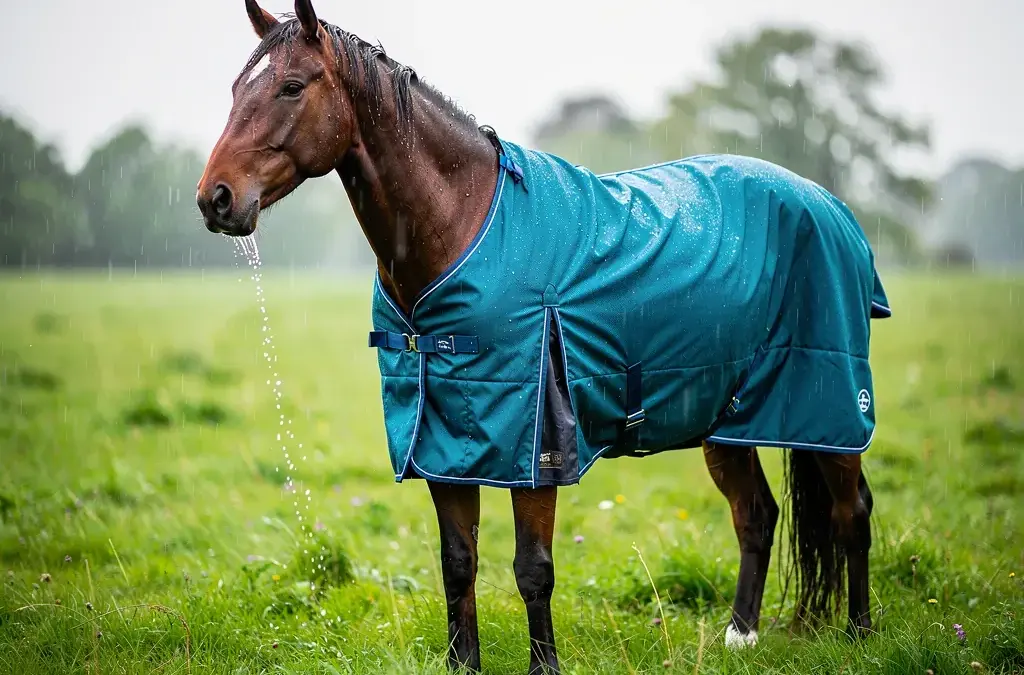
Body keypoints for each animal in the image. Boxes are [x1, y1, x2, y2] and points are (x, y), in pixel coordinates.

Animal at [197, 2, 888, 672]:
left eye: (291, 86)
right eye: (234, 88)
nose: (215, 199)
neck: (463, 223)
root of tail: (829, 205)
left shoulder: (535, 448)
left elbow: (533, 570)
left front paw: (545, 665)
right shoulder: (444, 443)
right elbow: (458, 565)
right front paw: (463, 663)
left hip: (829, 410)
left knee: (851, 513)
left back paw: (858, 636)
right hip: (726, 417)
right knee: (756, 515)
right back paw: (740, 636)